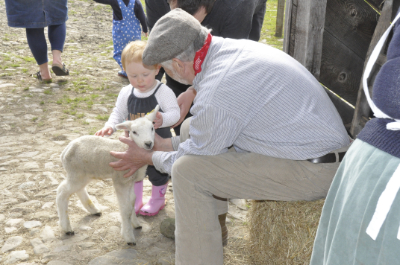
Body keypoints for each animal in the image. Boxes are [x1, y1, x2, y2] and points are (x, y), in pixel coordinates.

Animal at [56, 104, 159, 243]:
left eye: (152, 128)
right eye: (134, 132)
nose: (148, 143)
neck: (127, 148)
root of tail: (66, 149)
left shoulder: (130, 180)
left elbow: (132, 202)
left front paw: (136, 224)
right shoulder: (121, 180)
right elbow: (126, 208)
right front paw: (128, 236)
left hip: (83, 174)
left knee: (79, 189)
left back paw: (93, 210)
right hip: (76, 172)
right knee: (62, 192)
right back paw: (67, 228)